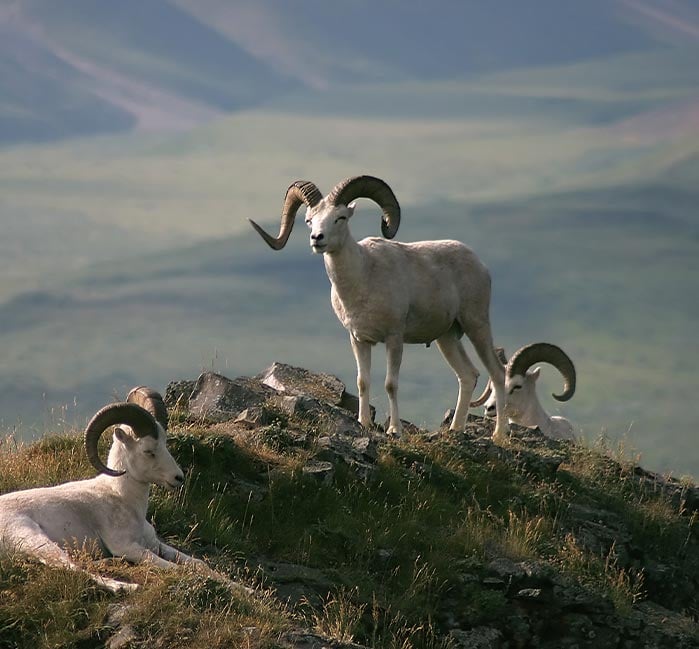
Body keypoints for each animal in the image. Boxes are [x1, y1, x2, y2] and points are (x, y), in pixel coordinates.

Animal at [0, 384, 216, 592]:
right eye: (148, 450)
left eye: (164, 443)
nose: (178, 477)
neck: (121, 497)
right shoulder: (127, 547)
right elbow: (175, 568)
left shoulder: (155, 544)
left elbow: (198, 563)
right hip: (35, 540)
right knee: (71, 567)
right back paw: (124, 587)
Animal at [252, 175, 508, 442]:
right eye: (309, 220)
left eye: (340, 217)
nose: (317, 239)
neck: (363, 278)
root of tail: (480, 264)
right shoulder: (359, 340)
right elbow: (362, 381)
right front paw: (363, 422)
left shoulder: (394, 338)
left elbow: (390, 384)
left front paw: (394, 429)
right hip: (447, 337)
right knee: (468, 375)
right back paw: (455, 429)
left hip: (476, 324)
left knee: (498, 374)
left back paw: (499, 435)